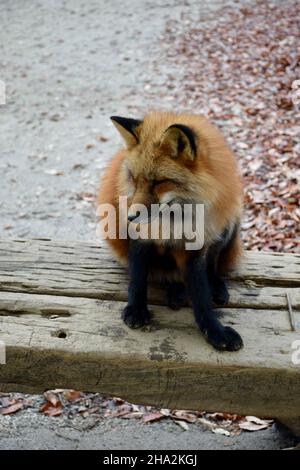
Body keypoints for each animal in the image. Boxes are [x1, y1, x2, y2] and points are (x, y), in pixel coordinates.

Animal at [98, 112, 244, 350]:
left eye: (159, 182)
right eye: (133, 179)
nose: (130, 217)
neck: (173, 223)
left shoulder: (195, 250)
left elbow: (201, 295)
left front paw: (215, 332)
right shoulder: (140, 236)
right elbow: (137, 279)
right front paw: (136, 310)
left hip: (231, 221)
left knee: (212, 266)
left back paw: (209, 287)